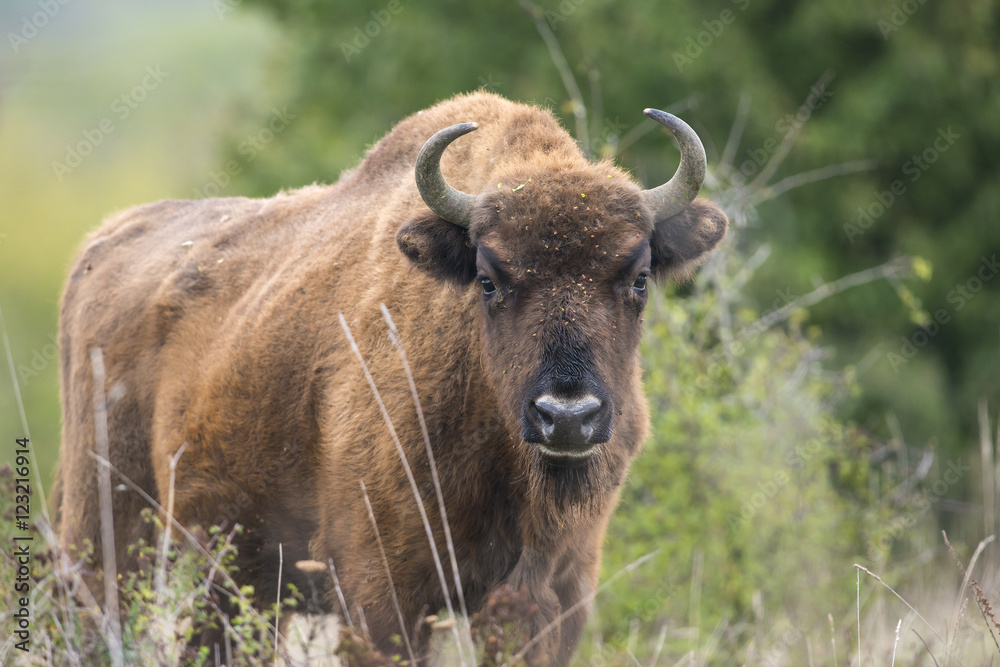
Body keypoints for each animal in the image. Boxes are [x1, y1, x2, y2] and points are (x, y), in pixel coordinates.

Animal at [56, 91, 728, 664]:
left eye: (639, 277)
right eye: (489, 279)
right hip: (107, 535)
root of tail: (100, 246)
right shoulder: (382, 593)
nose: (567, 416)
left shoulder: (550, 599)